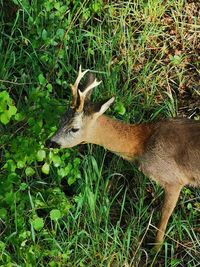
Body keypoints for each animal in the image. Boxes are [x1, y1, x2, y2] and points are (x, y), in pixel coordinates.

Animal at [47, 66, 200, 252]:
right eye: (60, 119)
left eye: (74, 128)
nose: (50, 142)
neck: (142, 142)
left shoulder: (174, 180)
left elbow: (164, 216)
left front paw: (156, 249)